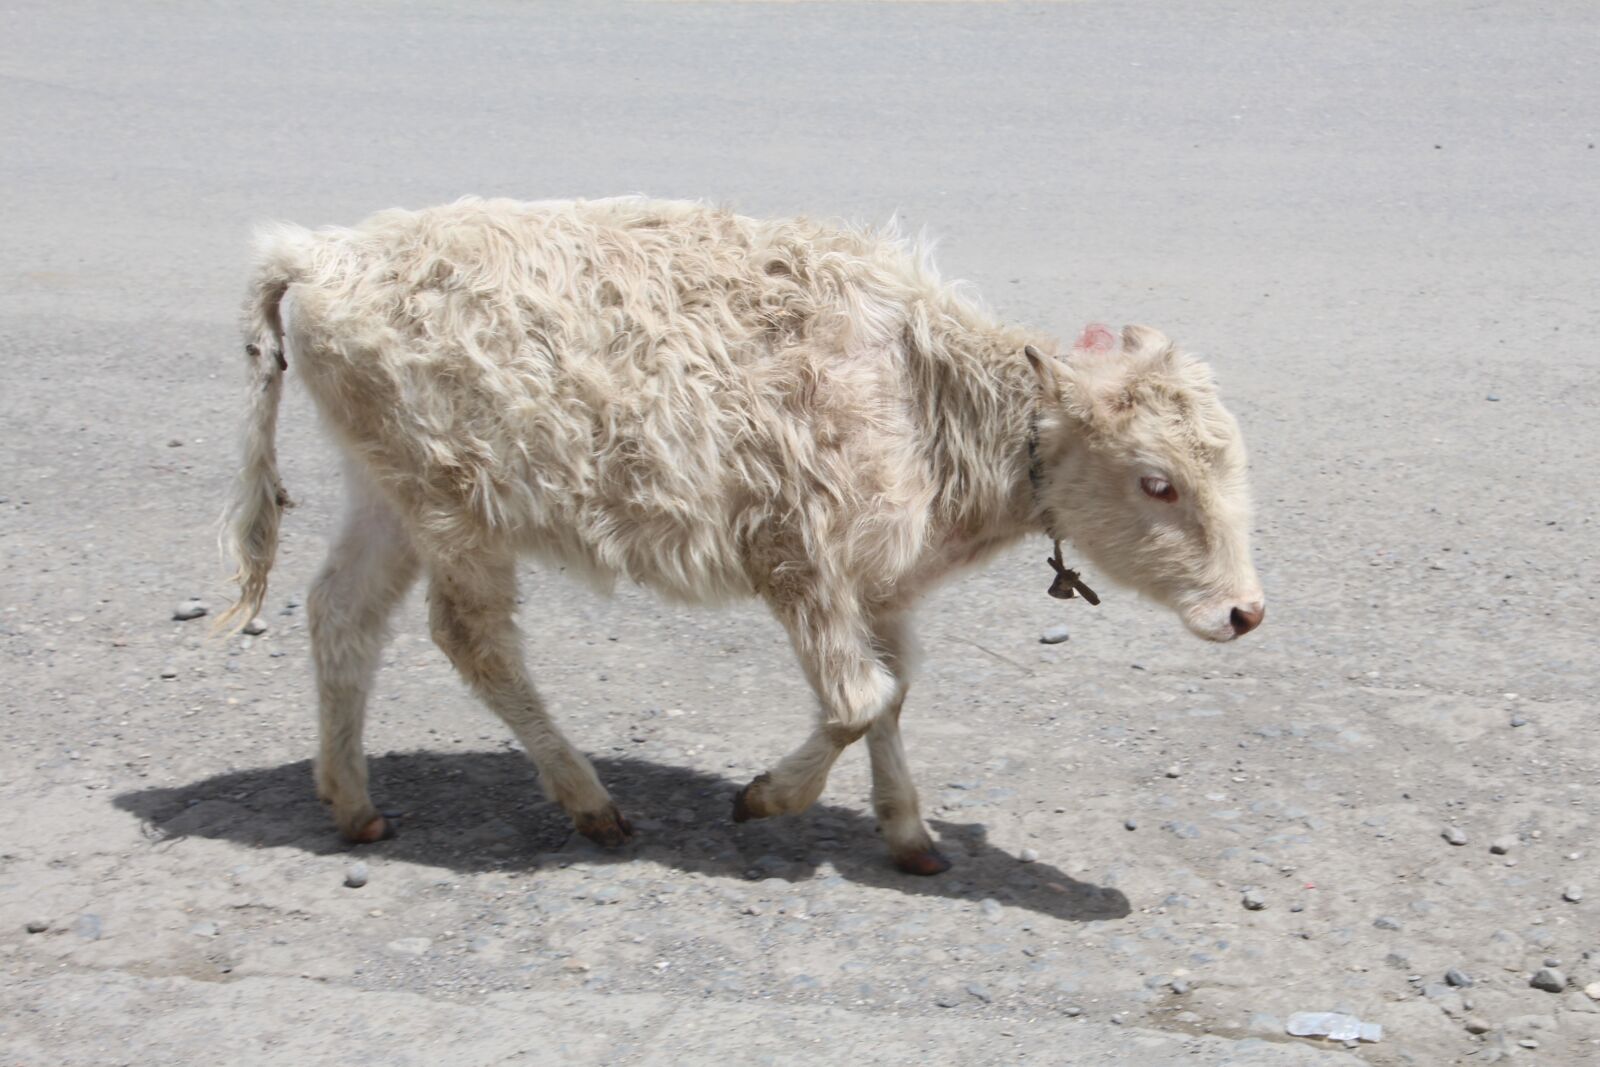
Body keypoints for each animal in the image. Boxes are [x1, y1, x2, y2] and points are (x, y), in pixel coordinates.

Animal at [218, 197, 1263, 875]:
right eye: (1157, 481)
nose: (1245, 612)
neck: (921, 396)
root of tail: (319, 255)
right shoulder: (796, 554)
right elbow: (857, 698)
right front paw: (765, 797)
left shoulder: (878, 584)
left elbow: (894, 694)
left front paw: (911, 836)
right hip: (452, 503)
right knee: (471, 638)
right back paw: (589, 803)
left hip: (385, 492)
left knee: (341, 614)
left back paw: (353, 803)